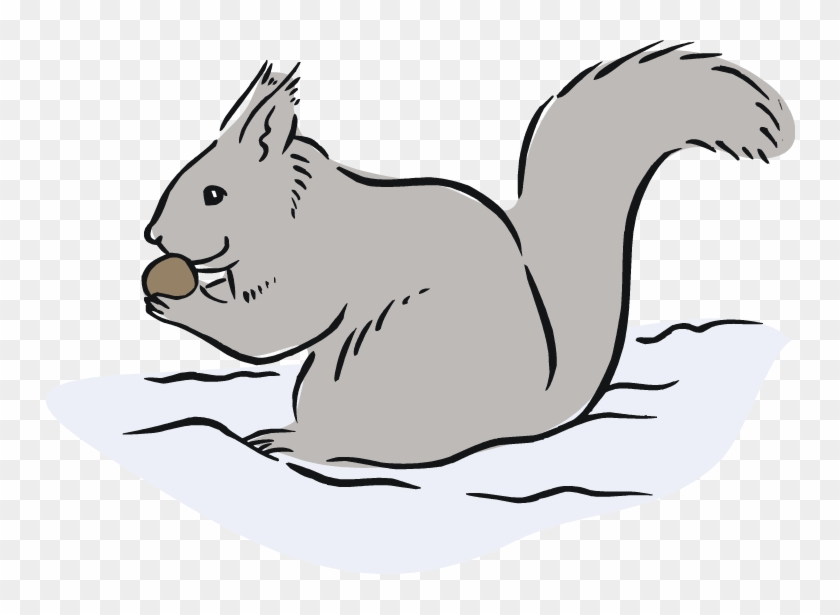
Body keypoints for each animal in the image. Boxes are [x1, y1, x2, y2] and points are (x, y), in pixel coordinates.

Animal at [142, 42, 795, 468]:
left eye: (214, 194)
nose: (154, 236)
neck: (289, 209)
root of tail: (522, 415)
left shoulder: (314, 266)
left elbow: (271, 328)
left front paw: (178, 302)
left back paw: (296, 442)